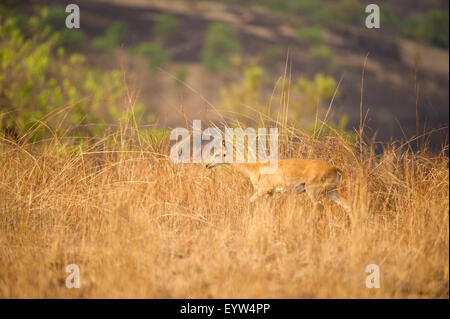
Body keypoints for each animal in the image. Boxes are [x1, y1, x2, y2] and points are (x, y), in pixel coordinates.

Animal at [205, 143, 352, 215]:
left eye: (219, 154)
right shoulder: (270, 194)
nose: (207, 165)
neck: (255, 168)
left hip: (314, 192)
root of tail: (335, 168)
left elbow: (247, 202)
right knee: (347, 206)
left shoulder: (263, 190)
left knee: (319, 207)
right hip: (331, 192)